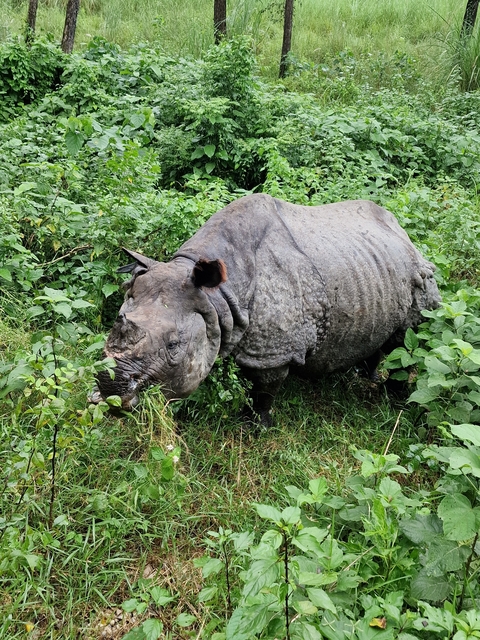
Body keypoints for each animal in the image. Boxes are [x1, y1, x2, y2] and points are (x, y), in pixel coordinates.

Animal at [95, 194, 441, 423]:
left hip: (420, 276)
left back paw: (392, 398)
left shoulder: (275, 351)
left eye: (174, 345)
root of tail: (406, 236)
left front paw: (254, 425)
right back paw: (364, 375)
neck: (216, 296)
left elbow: (264, 388)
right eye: (118, 318)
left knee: (406, 341)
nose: (111, 390)